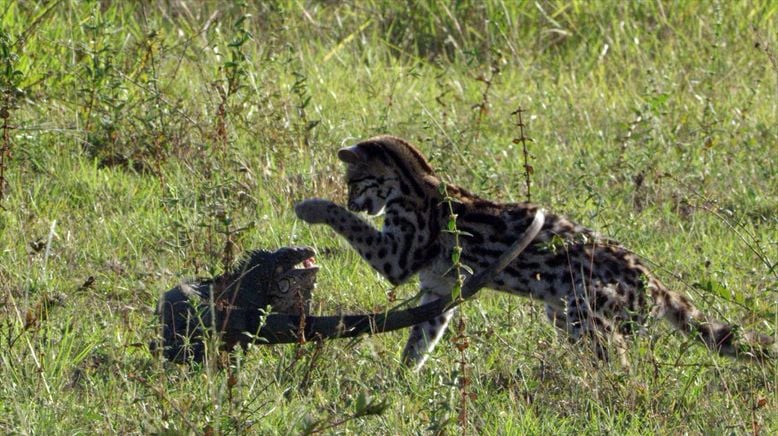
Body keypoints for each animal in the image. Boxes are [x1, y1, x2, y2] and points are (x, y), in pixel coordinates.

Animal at [294, 135, 772, 370]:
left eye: (352, 182)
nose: (355, 199)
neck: (417, 180)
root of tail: (656, 284)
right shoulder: (439, 289)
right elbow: (419, 342)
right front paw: (400, 383)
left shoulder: (397, 257)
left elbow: (348, 223)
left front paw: (313, 207)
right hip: (565, 314)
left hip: (588, 319)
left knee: (622, 368)